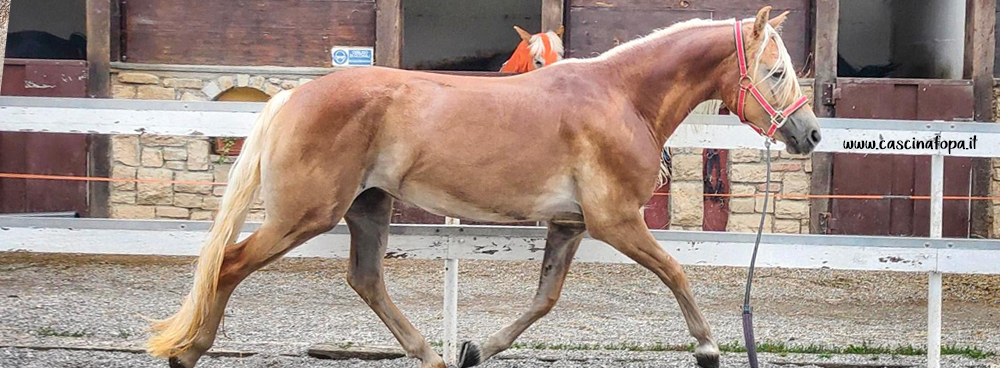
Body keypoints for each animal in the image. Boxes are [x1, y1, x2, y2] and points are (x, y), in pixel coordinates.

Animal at [146, 6, 820, 368]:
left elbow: (544, 299)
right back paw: (188, 350)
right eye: (776, 71)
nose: (809, 133)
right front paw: (707, 347)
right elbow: (676, 271)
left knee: (366, 280)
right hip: (304, 215)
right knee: (230, 264)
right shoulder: (616, 221)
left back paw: (432, 354)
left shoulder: (571, 224)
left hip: (367, 207)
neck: (621, 97)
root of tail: (293, 95)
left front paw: (477, 348)